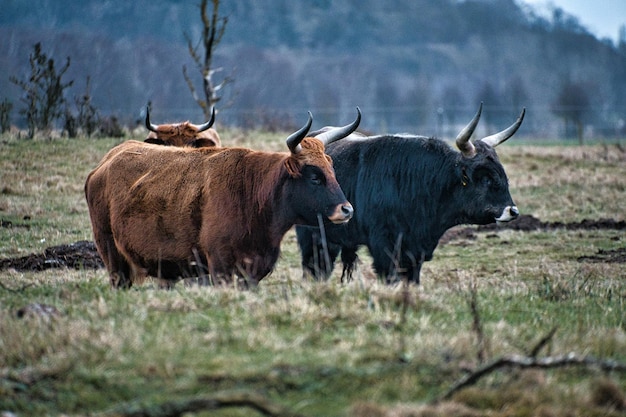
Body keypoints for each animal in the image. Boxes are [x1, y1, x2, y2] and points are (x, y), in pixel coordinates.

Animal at [84, 109, 358, 288]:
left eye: (332, 170)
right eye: (314, 177)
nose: (346, 210)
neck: (252, 194)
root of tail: (106, 162)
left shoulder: (253, 271)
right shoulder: (220, 267)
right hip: (114, 259)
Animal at [294, 103, 524, 282]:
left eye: (502, 175)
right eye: (485, 179)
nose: (512, 211)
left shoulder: (415, 252)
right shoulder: (384, 248)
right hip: (313, 238)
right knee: (315, 269)